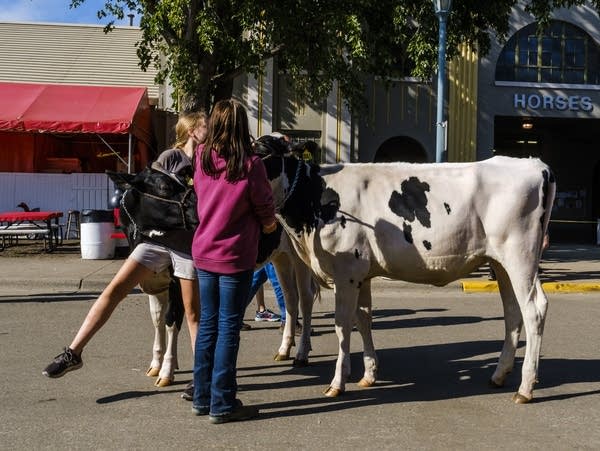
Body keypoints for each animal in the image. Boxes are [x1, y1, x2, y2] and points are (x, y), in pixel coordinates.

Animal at [260, 151, 556, 402]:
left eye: (260, 154)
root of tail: (534, 164)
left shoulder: (346, 274)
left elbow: (342, 327)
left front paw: (337, 383)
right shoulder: (362, 275)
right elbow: (363, 321)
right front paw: (368, 375)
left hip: (520, 256)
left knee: (534, 310)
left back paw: (525, 388)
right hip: (501, 264)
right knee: (513, 311)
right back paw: (499, 375)